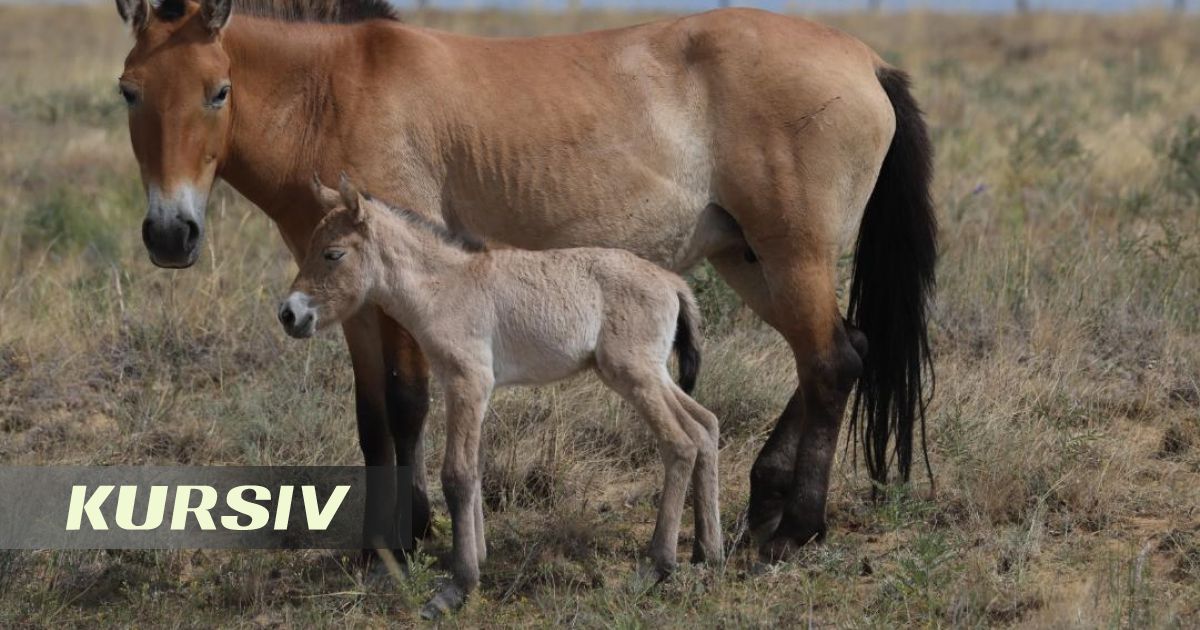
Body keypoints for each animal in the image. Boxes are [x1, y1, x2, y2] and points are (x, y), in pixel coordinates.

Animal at [114, 0, 935, 564]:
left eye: (218, 90)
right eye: (129, 91)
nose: (170, 235)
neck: (332, 91)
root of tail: (867, 62)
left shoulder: (408, 295)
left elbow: (407, 406)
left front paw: (408, 538)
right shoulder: (353, 305)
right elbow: (372, 417)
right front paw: (377, 543)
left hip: (790, 255)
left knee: (831, 362)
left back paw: (795, 528)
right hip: (750, 260)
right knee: (842, 351)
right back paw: (764, 502)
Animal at [279, 174, 721, 616]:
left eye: (333, 253)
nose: (289, 314)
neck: (444, 288)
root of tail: (672, 282)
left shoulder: (468, 382)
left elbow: (456, 475)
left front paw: (457, 587)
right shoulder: (468, 387)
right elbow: (474, 469)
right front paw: (477, 560)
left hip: (634, 374)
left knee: (680, 443)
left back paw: (658, 566)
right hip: (651, 373)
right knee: (705, 426)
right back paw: (707, 553)